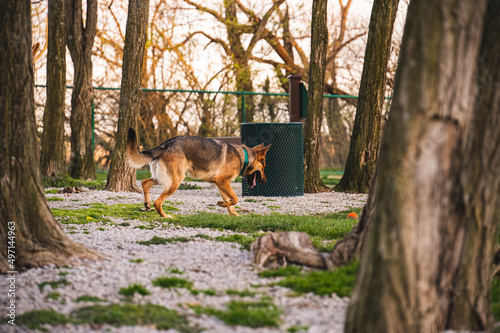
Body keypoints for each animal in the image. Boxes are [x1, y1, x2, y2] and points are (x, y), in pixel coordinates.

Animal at [127, 127, 272, 218]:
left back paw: (147, 204)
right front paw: (224, 205)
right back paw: (166, 216)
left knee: (145, 183)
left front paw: (232, 213)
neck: (244, 157)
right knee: (158, 202)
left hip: (163, 179)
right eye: (264, 165)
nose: (266, 181)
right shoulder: (221, 181)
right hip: (175, 181)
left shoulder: (221, 184)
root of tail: (163, 146)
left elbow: (230, 201)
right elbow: (235, 199)